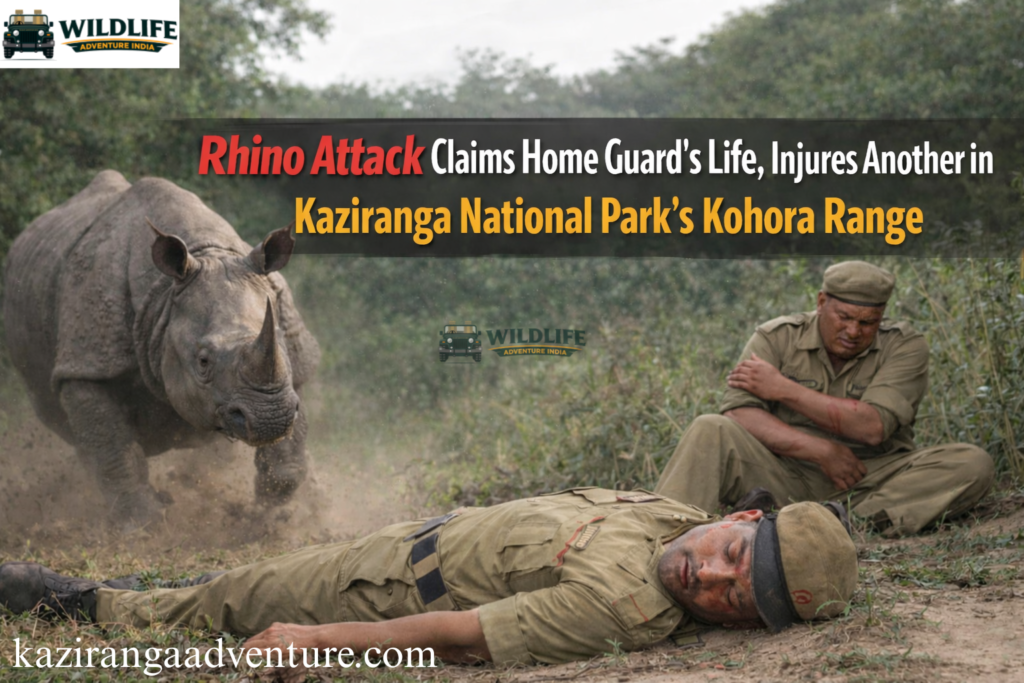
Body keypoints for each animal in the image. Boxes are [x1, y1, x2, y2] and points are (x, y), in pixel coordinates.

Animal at [3, 170, 321, 529]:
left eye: (280, 341)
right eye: (202, 361)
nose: (270, 419)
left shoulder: (289, 357)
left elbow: (290, 446)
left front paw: (273, 515)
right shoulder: (85, 366)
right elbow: (113, 448)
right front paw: (143, 526)